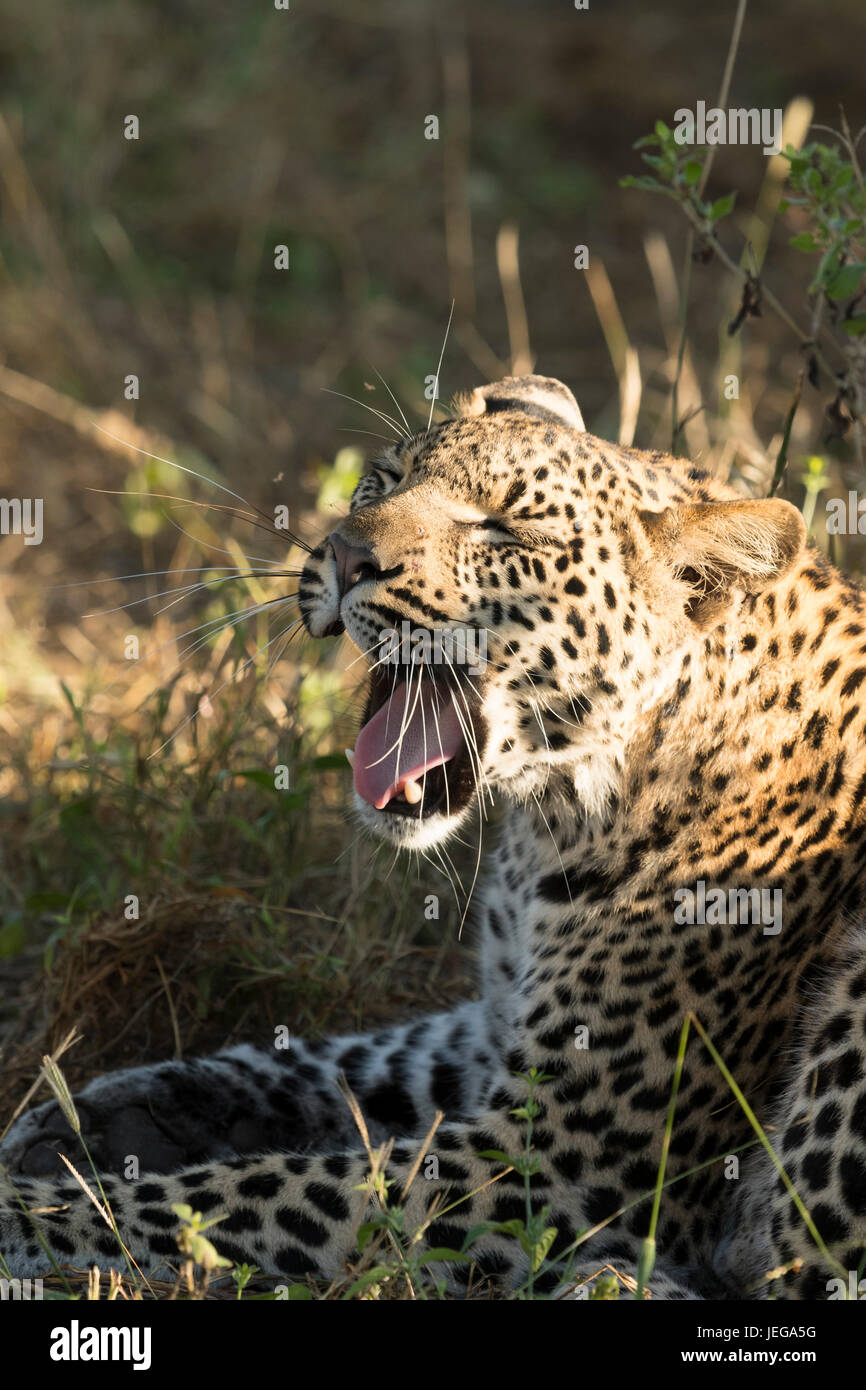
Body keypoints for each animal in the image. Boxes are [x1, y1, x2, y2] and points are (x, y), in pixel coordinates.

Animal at [2, 373, 866, 1300]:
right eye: (383, 479)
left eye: (502, 531)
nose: (347, 556)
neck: (558, 815)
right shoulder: (492, 1030)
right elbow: (348, 1058)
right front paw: (93, 1116)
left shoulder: (553, 1153)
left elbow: (243, 1192)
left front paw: (28, 1210)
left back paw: (614, 1282)